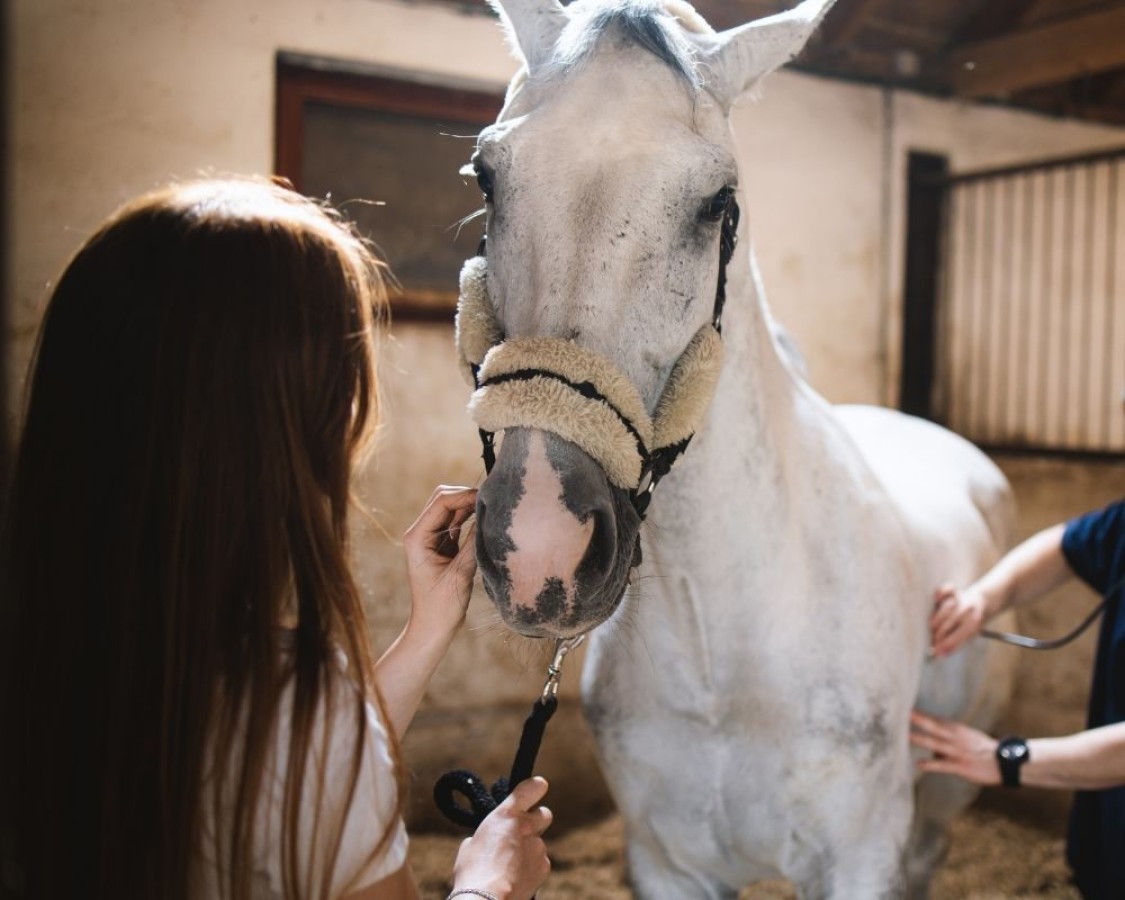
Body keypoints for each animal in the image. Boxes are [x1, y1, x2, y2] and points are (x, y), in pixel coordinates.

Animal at [452, 3, 1017, 895]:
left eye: (717, 201)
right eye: (486, 176)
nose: (542, 545)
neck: (719, 645)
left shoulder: (861, 858)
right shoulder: (666, 862)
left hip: (941, 801)